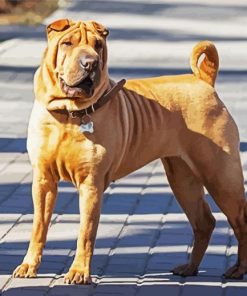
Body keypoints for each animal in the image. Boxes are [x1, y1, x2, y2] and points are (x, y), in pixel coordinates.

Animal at [12, 19, 246, 284]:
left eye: (98, 45)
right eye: (67, 43)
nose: (90, 62)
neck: (69, 114)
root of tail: (204, 81)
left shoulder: (91, 184)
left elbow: (86, 232)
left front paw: (79, 272)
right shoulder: (43, 181)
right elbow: (38, 227)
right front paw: (29, 265)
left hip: (221, 177)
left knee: (240, 222)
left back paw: (238, 269)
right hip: (182, 179)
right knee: (204, 222)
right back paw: (189, 268)